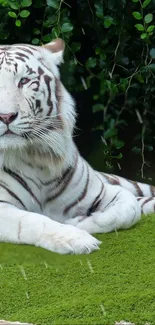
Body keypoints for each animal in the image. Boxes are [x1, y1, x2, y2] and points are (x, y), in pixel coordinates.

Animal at [0, 38, 154, 253]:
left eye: (23, 81)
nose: (5, 116)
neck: (37, 157)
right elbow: (33, 220)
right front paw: (76, 238)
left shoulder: (101, 191)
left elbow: (129, 208)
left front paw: (79, 221)